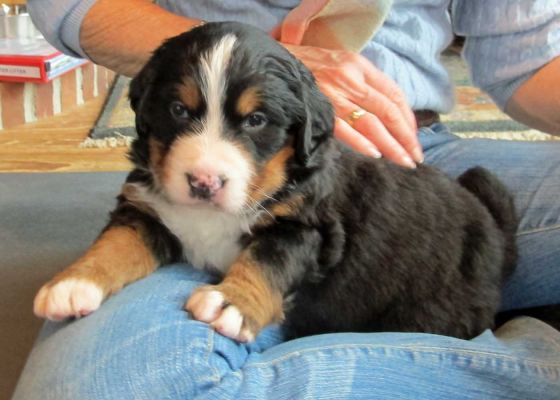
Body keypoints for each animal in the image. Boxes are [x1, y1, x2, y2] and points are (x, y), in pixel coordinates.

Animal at [34, 21, 516, 340]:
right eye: (178, 110)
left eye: (256, 120)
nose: (204, 182)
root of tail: (491, 228)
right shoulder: (150, 210)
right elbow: (116, 244)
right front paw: (73, 284)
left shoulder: (307, 228)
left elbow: (266, 260)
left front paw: (232, 302)